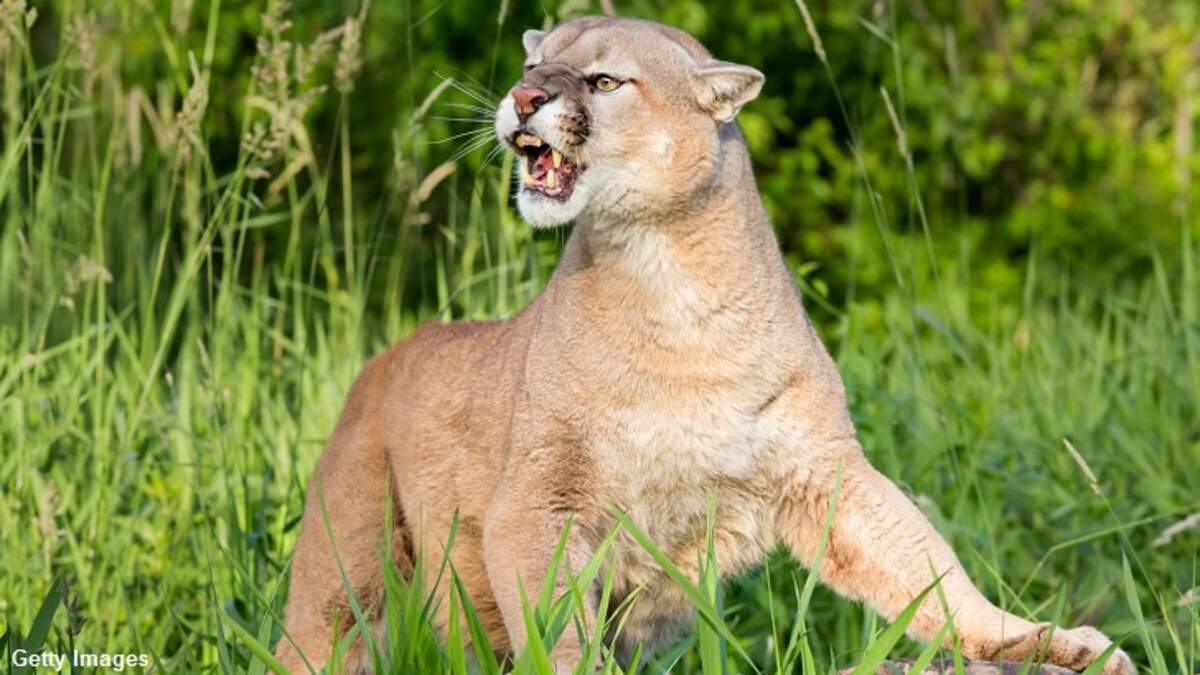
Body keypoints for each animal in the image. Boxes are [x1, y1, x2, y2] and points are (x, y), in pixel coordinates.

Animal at [276, 16, 1134, 675]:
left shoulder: (823, 470)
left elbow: (929, 571)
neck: (670, 279)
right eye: (530, 66)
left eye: (604, 81)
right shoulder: (537, 501)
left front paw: (1044, 639)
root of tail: (384, 356)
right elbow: (557, 627)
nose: (522, 98)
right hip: (341, 583)